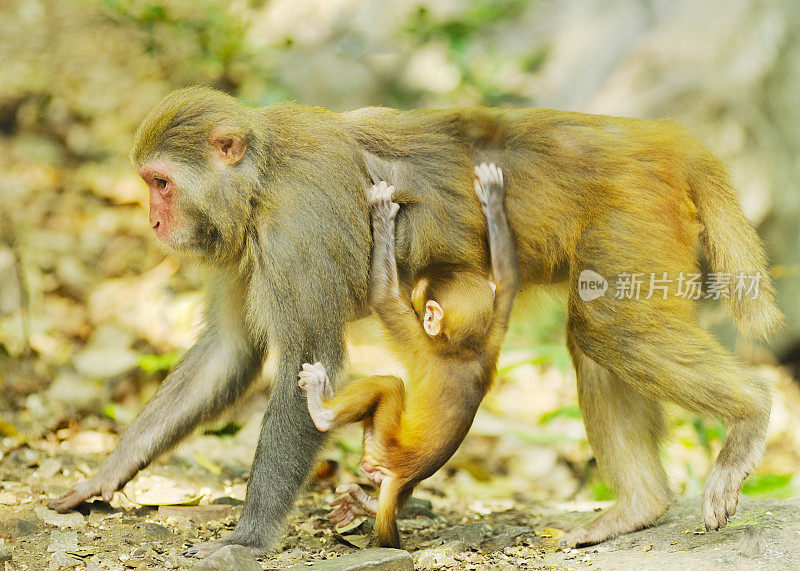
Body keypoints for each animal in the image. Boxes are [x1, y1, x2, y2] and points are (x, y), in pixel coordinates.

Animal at [298, 163, 520, 548]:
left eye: (418, 296)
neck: (463, 346)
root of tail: (400, 474)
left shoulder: (419, 339)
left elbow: (383, 297)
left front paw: (382, 215)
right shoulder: (495, 330)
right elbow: (507, 277)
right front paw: (492, 197)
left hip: (383, 442)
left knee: (389, 385)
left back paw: (322, 411)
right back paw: (365, 504)